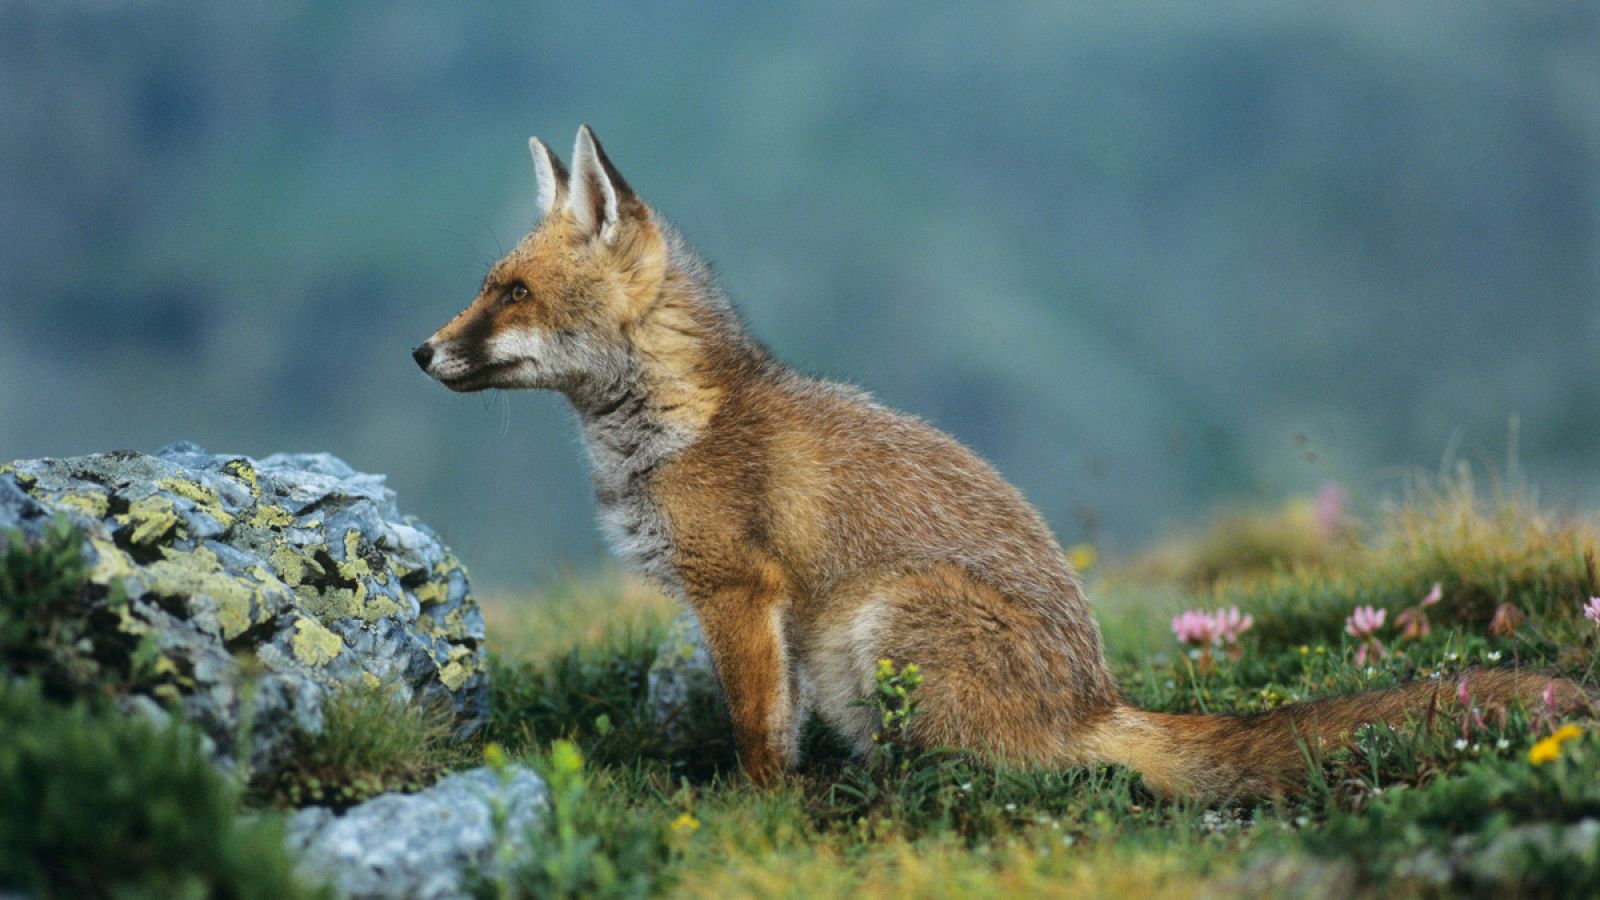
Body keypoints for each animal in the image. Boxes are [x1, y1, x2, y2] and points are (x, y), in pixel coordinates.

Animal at [414, 126, 1589, 797]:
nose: (421, 352)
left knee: (1014, 776)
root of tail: (1096, 697)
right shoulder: (753, 612)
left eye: (508, 292)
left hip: (885, 620)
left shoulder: (738, 592)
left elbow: (759, 737)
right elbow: (773, 729)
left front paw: (757, 816)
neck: (669, 427)